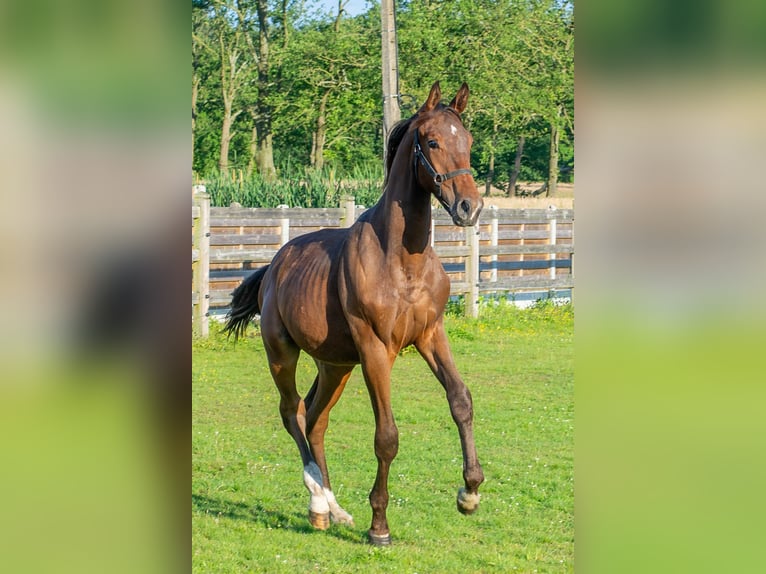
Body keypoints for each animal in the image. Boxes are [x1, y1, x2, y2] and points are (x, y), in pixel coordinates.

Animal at [225, 82, 486, 548]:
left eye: (469, 142)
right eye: (433, 142)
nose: (469, 207)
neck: (402, 261)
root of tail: (274, 265)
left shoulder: (430, 335)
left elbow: (460, 400)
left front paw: (469, 493)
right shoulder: (376, 349)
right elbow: (387, 436)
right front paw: (379, 526)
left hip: (335, 365)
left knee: (314, 419)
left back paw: (330, 511)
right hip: (282, 354)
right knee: (291, 412)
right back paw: (318, 499)